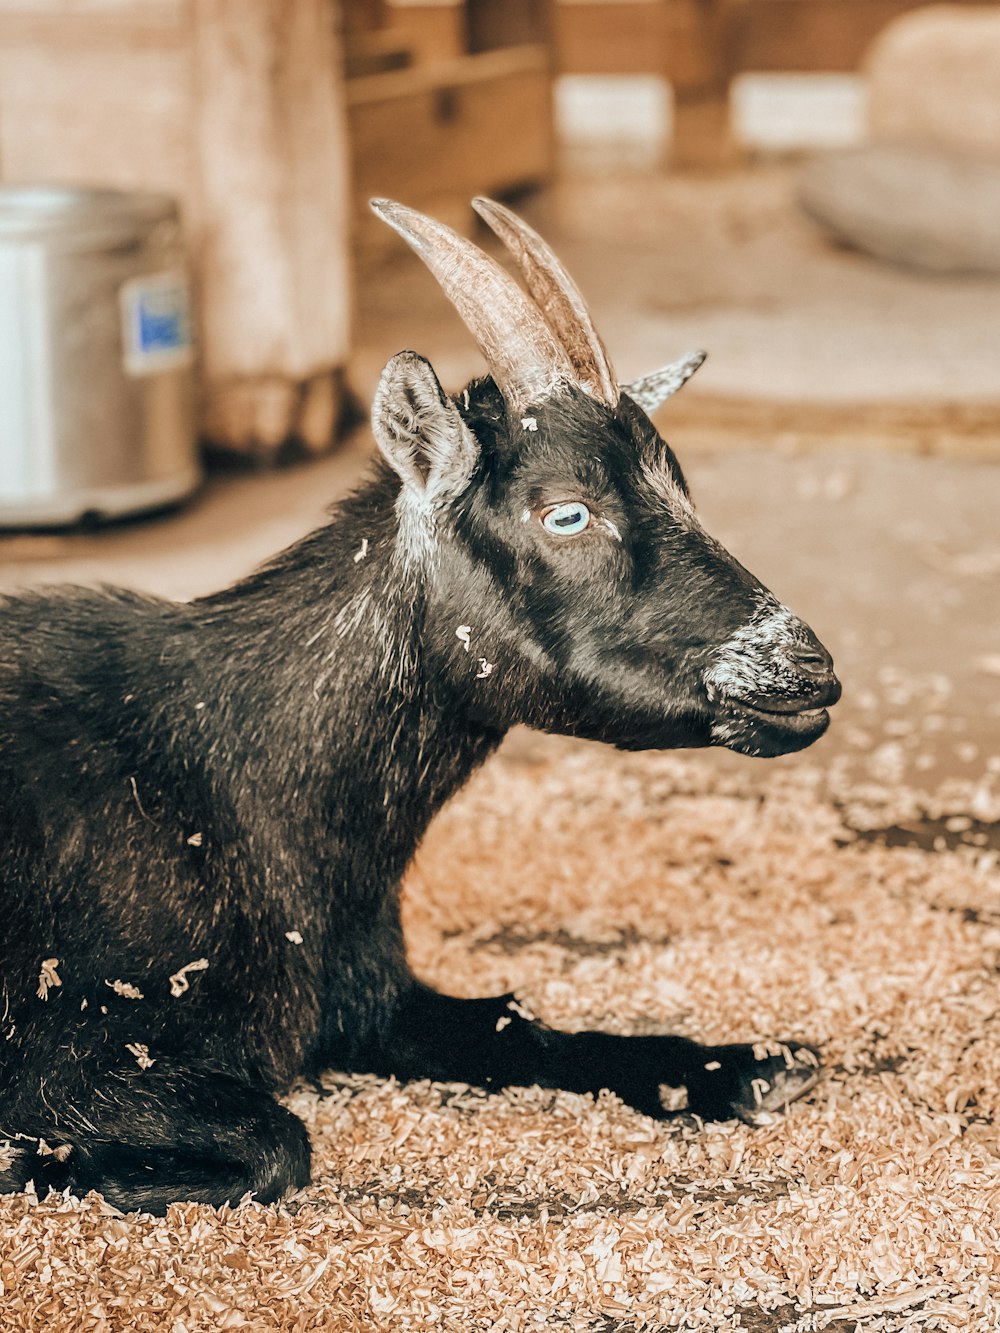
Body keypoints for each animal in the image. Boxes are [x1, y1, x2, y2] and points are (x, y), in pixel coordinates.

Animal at [0, 197, 842, 1210]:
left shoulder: (374, 1001)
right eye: (567, 511)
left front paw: (747, 1064)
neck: (235, 769)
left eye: (679, 486)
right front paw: (52, 1161)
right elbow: (276, 1141)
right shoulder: (72, 1045)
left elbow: (512, 1023)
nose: (804, 666)